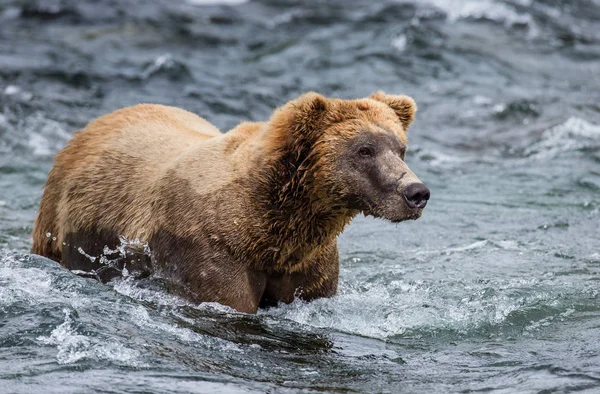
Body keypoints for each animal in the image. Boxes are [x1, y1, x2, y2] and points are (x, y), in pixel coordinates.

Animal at [32, 92, 428, 314]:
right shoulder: (211, 252)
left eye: (400, 147)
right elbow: (229, 300)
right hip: (66, 229)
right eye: (364, 150)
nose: (416, 192)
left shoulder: (308, 261)